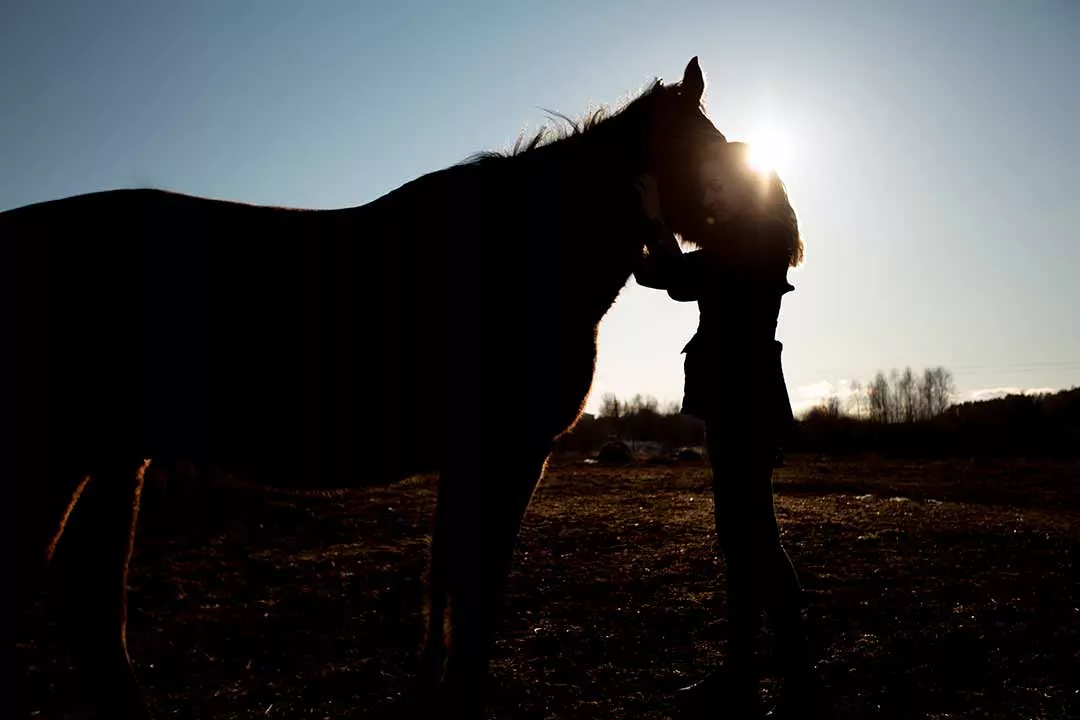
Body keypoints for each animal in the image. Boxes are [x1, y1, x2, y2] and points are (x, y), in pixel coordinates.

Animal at [5, 56, 731, 719]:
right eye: (704, 147)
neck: (513, 258)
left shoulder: (470, 461)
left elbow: (447, 577)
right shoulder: (510, 454)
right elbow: (478, 583)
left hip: (114, 460)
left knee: (93, 610)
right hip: (58, 461)